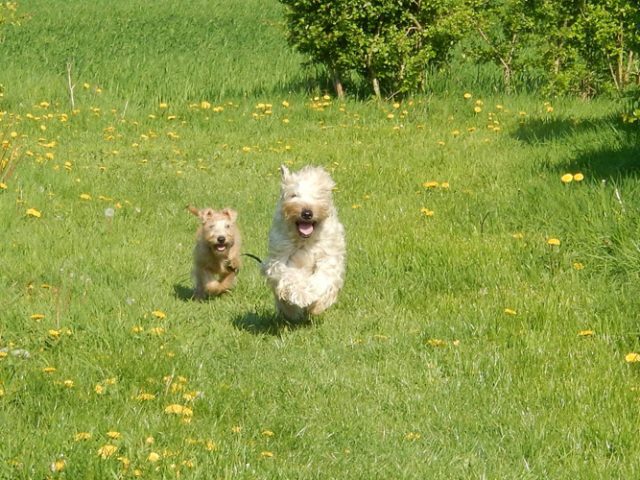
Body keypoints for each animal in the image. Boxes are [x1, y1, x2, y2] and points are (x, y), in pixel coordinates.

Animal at [262, 163, 348, 320]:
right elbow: (289, 276)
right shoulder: (279, 259)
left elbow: (322, 279)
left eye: (318, 196)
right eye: (293, 195)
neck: (305, 241)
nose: (307, 213)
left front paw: (313, 301)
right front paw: (301, 295)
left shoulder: (328, 256)